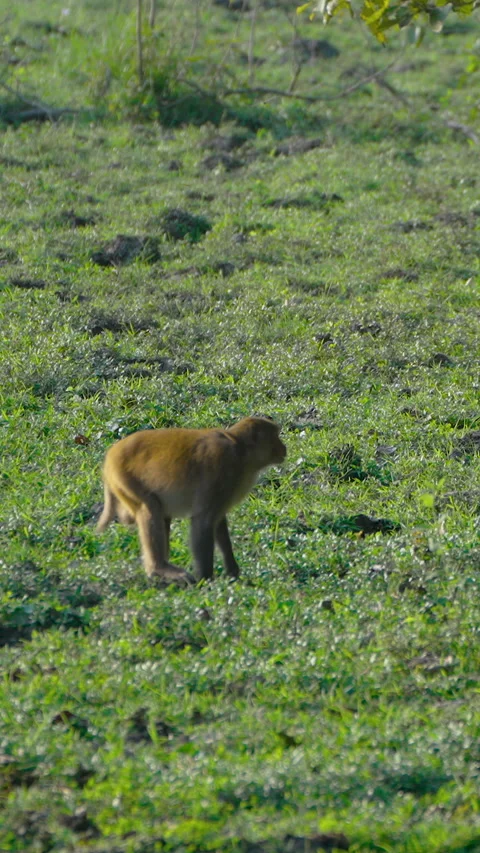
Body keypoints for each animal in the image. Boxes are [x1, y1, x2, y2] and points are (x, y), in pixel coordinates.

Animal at [96, 417, 286, 585]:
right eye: (275, 436)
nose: (284, 447)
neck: (240, 451)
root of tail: (110, 456)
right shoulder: (223, 467)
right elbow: (204, 521)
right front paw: (206, 579)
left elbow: (218, 522)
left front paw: (232, 571)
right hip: (124, 478)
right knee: (151, 507)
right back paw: (159, 568)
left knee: (158, 513)